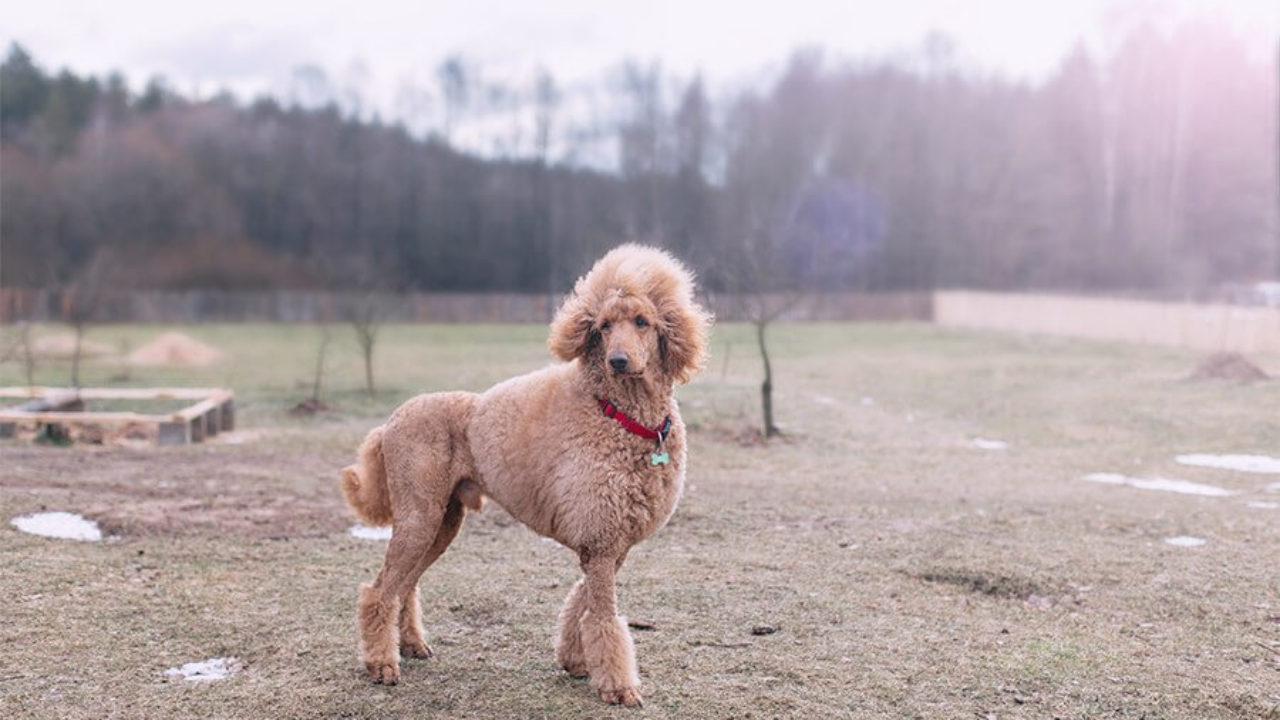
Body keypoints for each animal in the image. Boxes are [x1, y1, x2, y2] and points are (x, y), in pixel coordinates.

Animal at [340, 243, 716, 702]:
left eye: (643, 322)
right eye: (604, 326)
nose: (618, 361)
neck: (620, 414)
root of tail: (390, 423)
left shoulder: (612, 543)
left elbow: (581, 604)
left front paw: (574, 661)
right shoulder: (600, 539)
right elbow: (603, 618)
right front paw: (618, 687)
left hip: (442, 520)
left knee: (404, 584)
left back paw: (410, 645)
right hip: (419, 514)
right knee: (380, 590)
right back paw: (381, 664)